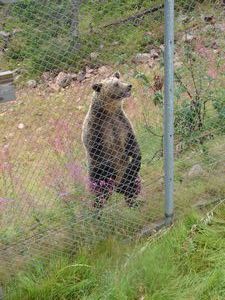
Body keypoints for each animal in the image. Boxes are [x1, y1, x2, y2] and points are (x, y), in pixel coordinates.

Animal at [81, 71, 142, 210]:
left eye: (120, 80)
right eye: (115, 84)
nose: (129, 86)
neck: (109, 111)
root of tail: (118, 188)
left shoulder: (122, 122)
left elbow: (132, 144)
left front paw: (135, 162)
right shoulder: (96, 129)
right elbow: (97, 152)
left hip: (127, 175)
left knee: (133, 186)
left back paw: (134, 202)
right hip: (96, 177)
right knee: (100, 195)